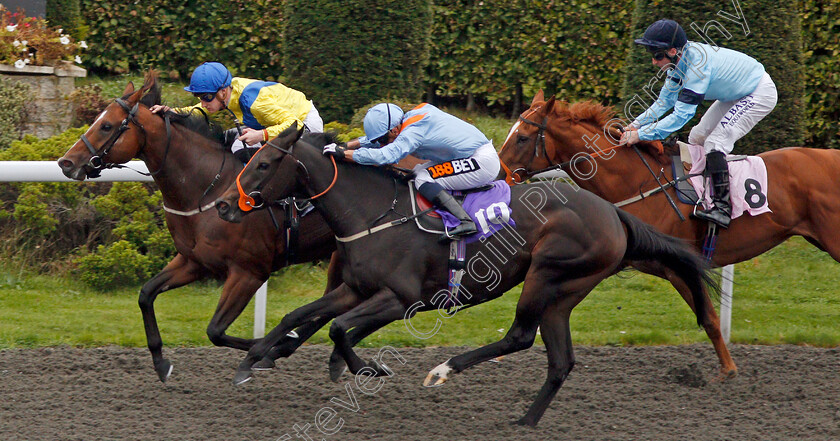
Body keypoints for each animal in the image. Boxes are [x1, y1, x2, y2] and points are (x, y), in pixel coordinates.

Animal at [55, 72, 342, 382]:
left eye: (106, 125)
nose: (65, 162)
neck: (208, 189)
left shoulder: (250, 272)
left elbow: (215, 331)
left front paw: (269, 347)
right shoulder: (194, 261)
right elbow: (146, 295)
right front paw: (161, 363)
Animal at [213, 124, 720, 426]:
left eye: (262, 163)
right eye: (250, 159)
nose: (222, 206)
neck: (371, 213)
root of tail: (615, 214)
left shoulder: (400, 298)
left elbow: (338, 329)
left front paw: (371, 368)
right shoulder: (355, 288)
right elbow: (300, 315)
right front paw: (252, 359)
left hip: (548, 273)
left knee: (520, 336)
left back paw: (444, 370)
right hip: (564, 293)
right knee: (560, 360)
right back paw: (525, 422)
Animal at [498, 90, 840, 378]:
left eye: (523, 138)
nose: (500, 174)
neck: (638, 183)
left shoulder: (679, 265)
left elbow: (709, 318)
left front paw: (728, 370)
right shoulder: (619, 254)